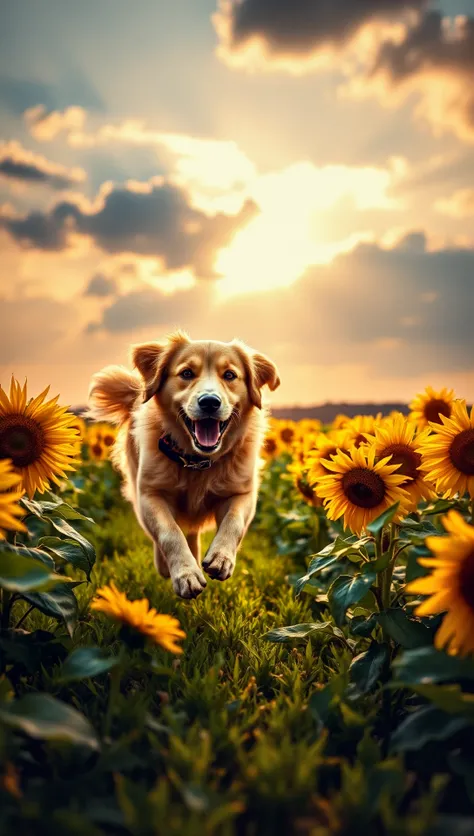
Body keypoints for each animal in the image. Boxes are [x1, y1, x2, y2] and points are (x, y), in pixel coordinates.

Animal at [87, 330, 280, 596]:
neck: (198, 462)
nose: (209, 402)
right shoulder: (149, 494)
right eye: (187, 373)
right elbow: (169, 532)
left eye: (230, 375)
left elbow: (233, 522)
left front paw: (221, 558)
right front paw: (185, 574)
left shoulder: (242, 493)